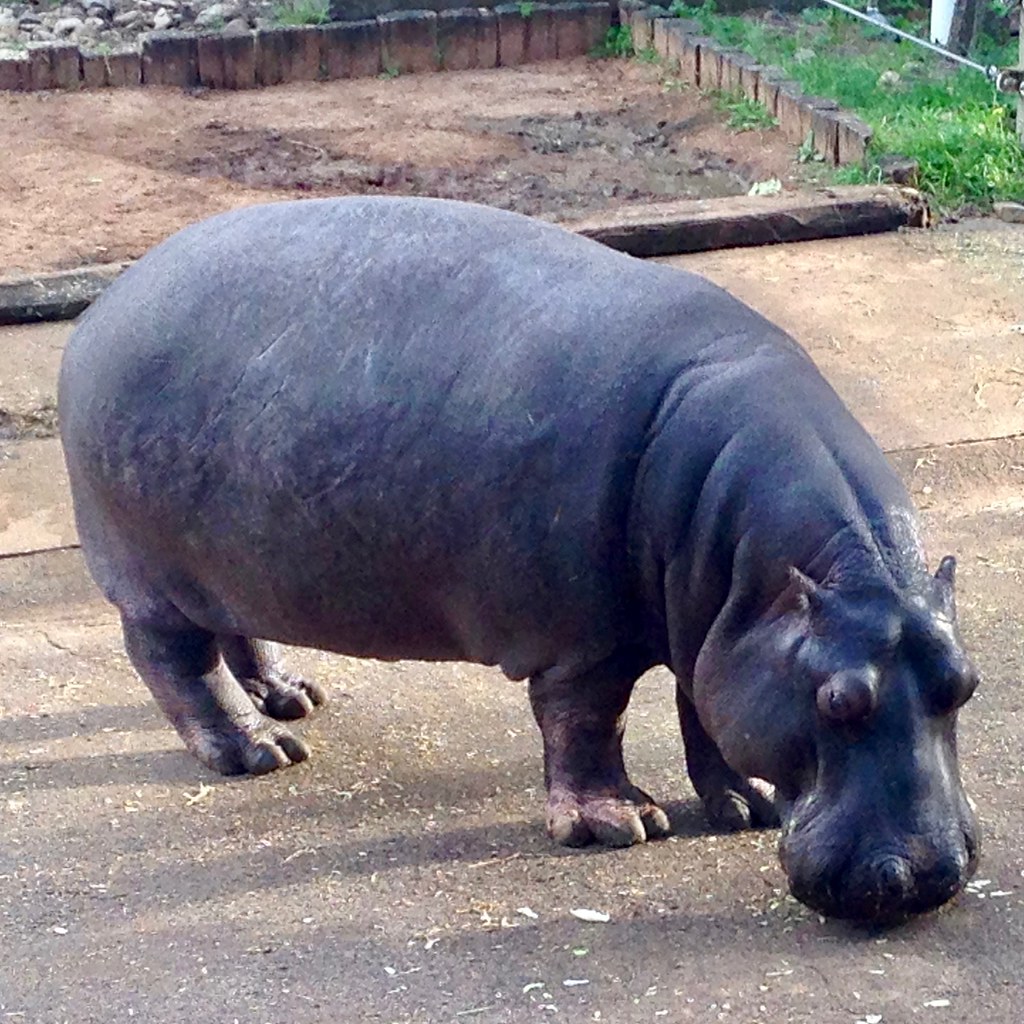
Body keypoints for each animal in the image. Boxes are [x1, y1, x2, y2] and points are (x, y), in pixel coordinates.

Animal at [58, 195, 979, 922]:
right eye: (837, 700)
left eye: (965, 685)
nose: (930, 877)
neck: (769, 587)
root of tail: (105, 306)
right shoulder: (584, 643)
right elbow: (588, 724)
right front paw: (618, 825)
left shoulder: (717, 621)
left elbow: (706, 703)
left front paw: (743, 804)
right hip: (152, 578)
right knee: (174, 662)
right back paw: (257, 752)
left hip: (231, 563)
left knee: (235, 629)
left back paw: (295, 699)